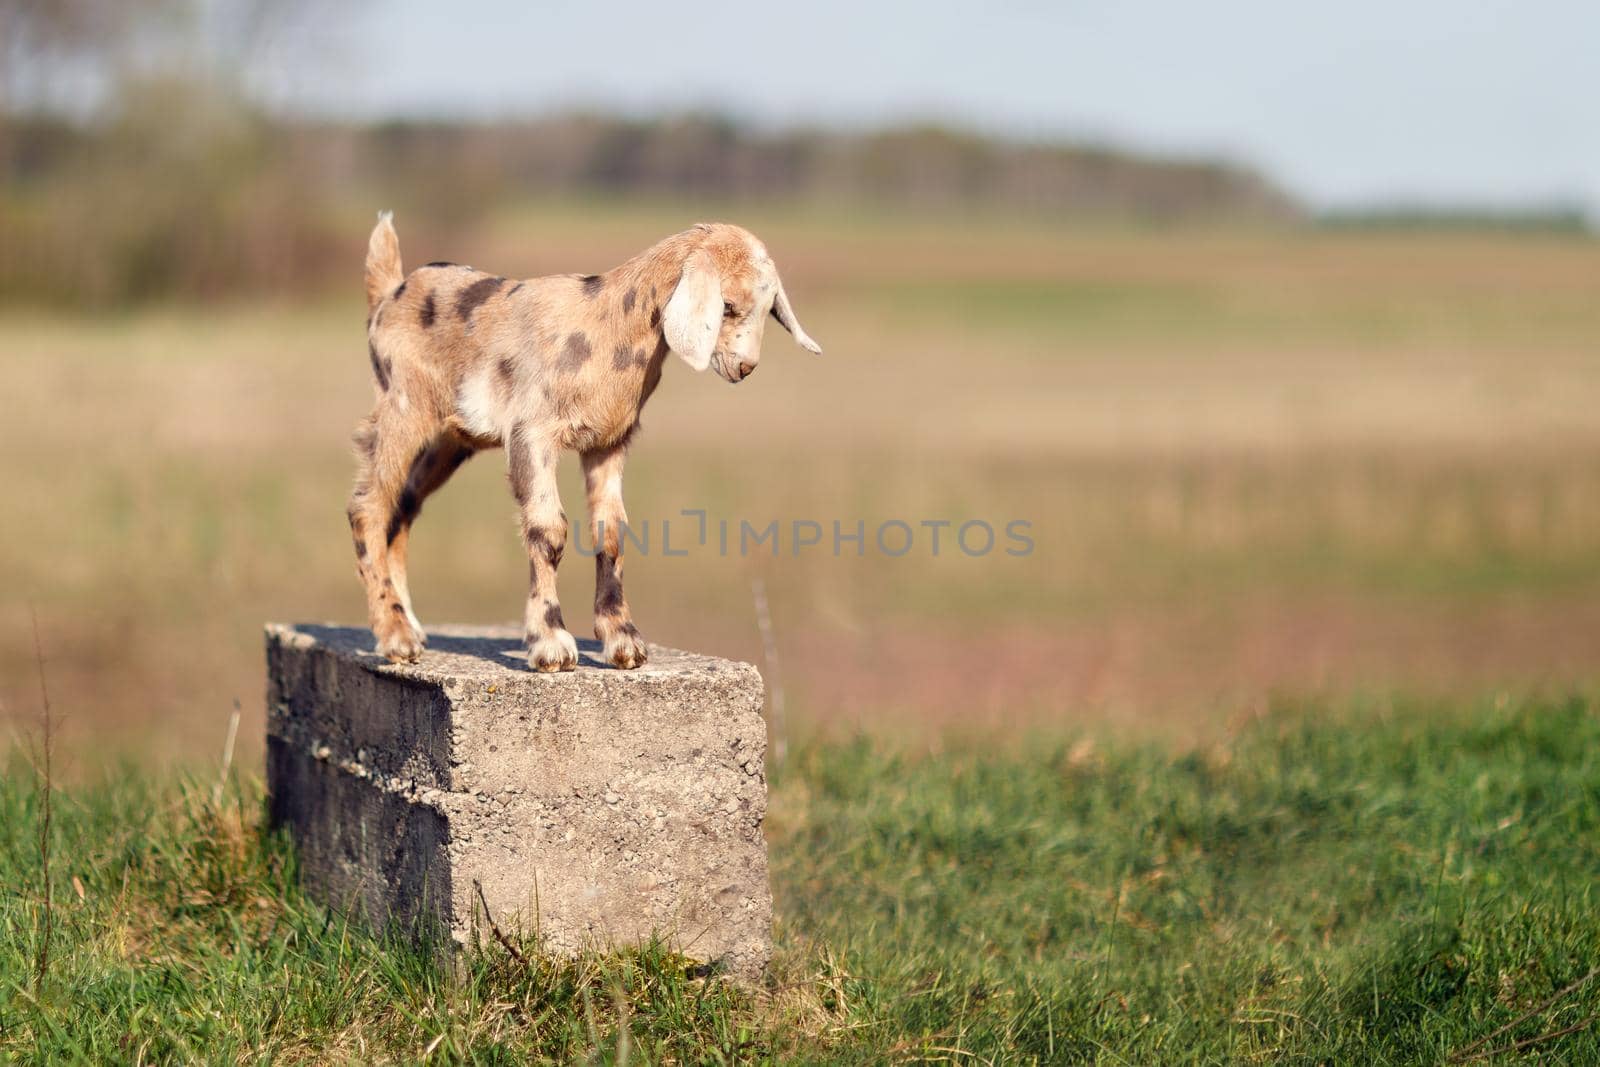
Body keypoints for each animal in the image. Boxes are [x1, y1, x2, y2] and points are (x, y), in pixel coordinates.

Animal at [352, 212, 825, 671]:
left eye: (769, 309)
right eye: (727, 306)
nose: (745, 367)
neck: (608, 324)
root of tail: (387, 294)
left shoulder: (609, 443)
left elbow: (611, 530)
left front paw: (623, 641)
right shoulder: (532, 433)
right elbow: (548, 529)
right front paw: (551, 644)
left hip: (448, 439)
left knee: (402, 507)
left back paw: (411, 627)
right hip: (403, 408)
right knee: (367, 507)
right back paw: (396, 637)